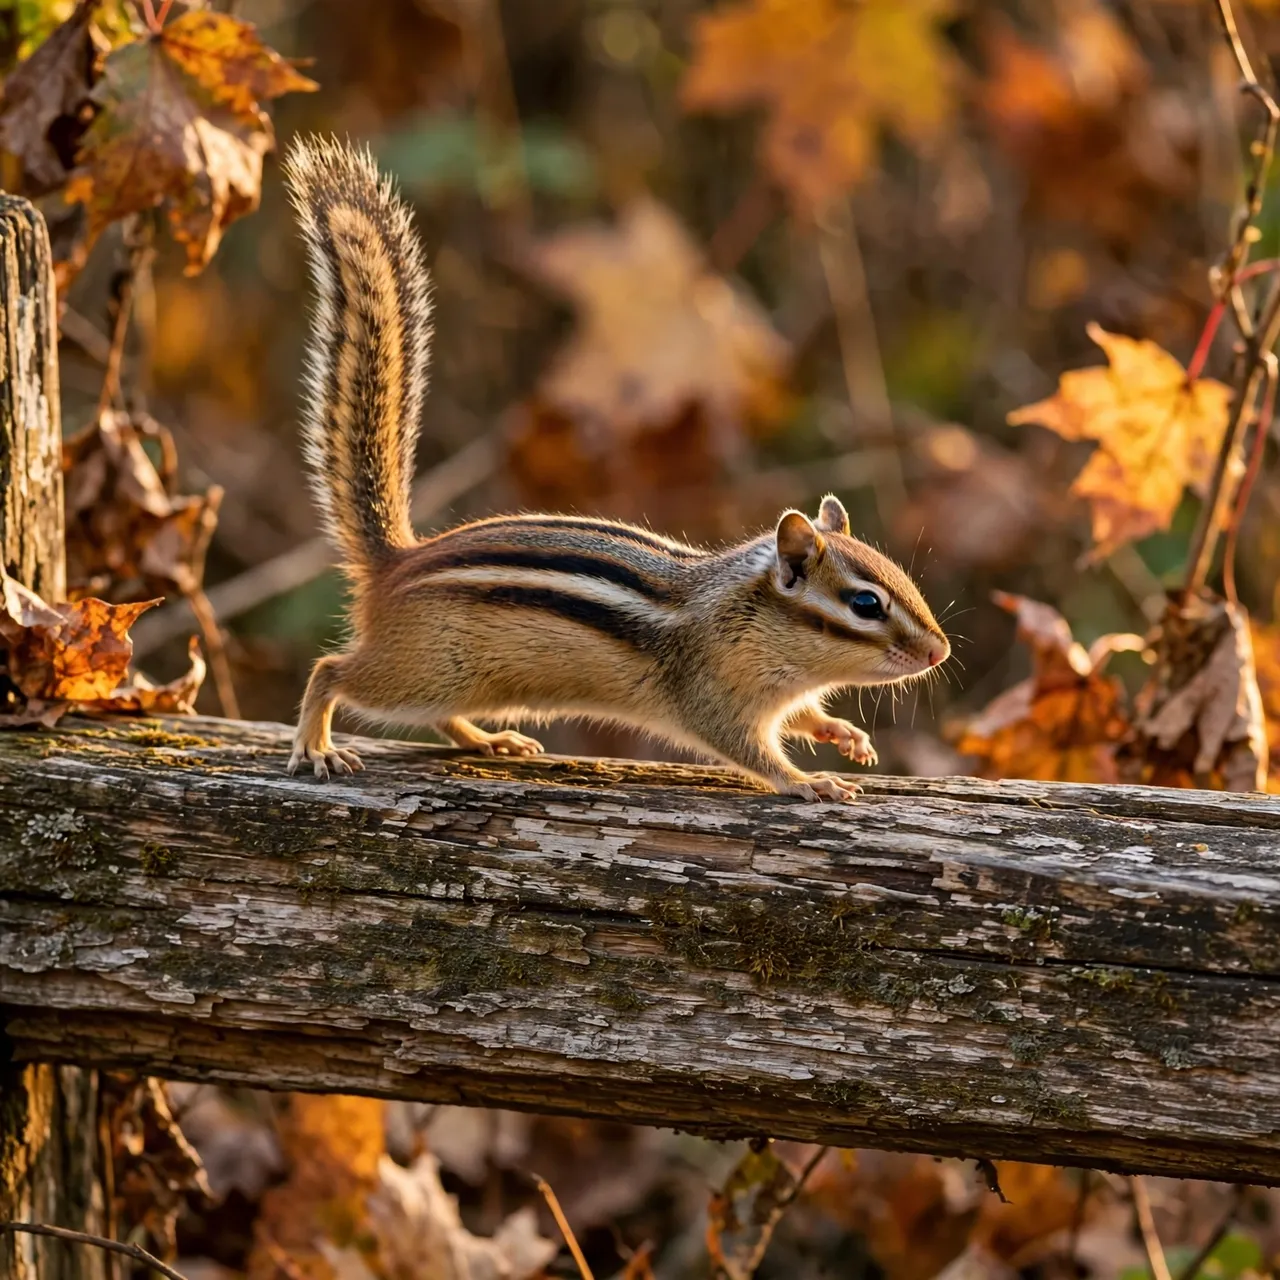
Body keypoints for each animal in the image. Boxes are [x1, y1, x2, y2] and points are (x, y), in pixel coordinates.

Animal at [282, 136, 950, 803]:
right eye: (865, 604)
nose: (939, 653)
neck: (749, 618)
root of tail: (395, 561)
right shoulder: (709, 694)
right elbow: (748, 751)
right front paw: (808, 782)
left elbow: (806, 716)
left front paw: (846, 736)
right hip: (423, 671)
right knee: (331, 671)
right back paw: (317, 744)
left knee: (441, 715)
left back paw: (491, 741)